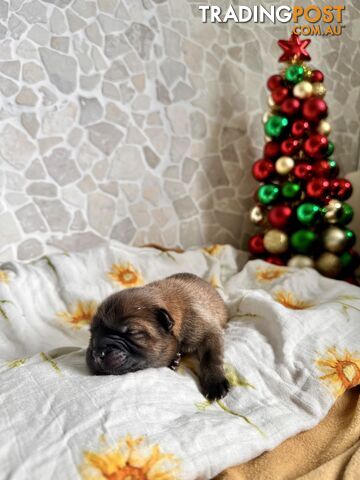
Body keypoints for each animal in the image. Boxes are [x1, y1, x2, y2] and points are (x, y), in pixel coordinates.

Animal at [86, 274, 231, 402]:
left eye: (132, 332)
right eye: (92, 332)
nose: (97, 353)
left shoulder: (209, 331)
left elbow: (211, 357)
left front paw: (215, 382)